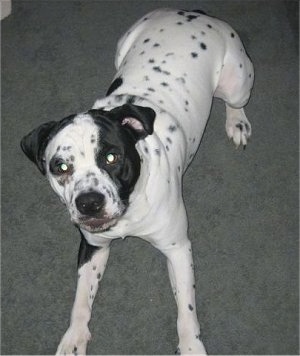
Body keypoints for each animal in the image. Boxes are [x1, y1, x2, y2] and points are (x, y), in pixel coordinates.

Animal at [21, 9, 254, 356]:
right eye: (60, 167)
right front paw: (74, 337)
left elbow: (186, 310)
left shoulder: (178, 248)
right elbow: (81, 300)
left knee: (235, 102)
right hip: (123, 46)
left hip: (236, 82)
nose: (89, 203)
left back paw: (236, 122)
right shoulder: (93, 246)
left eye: (112, 157)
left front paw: (191, 346)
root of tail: (194, 12)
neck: (129, 209)